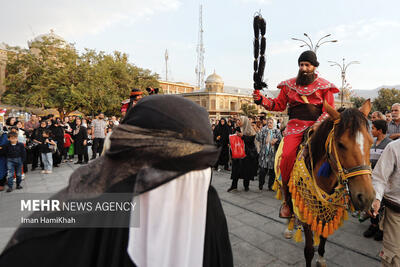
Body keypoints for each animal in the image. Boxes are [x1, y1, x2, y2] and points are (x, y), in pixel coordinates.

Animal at [282, 100, 376, 267]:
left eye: (371, 142)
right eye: (340, 144)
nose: (367, 197)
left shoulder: (327, 209)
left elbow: (324, 237)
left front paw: (321, 258)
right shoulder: (307, 207)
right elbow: (308, 250)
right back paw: (289, 223)